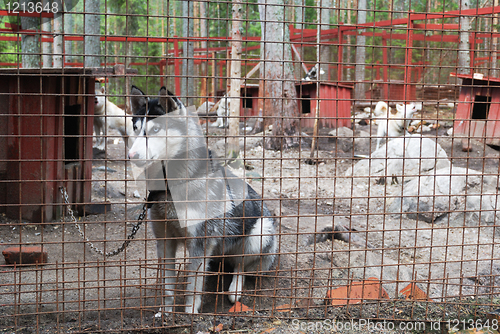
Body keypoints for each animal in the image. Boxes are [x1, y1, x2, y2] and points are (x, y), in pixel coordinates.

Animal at [127, 85, 278, 314]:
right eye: (136, 128)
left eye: (155, 130)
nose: (131, 155)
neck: (171, 187)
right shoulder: (165, 241)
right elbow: (168, 286)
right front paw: (165, 313)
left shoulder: (199, 243)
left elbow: (193, 286)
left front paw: (190, 313)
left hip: (258, 235)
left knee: (241, 266)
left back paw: (235, 289)